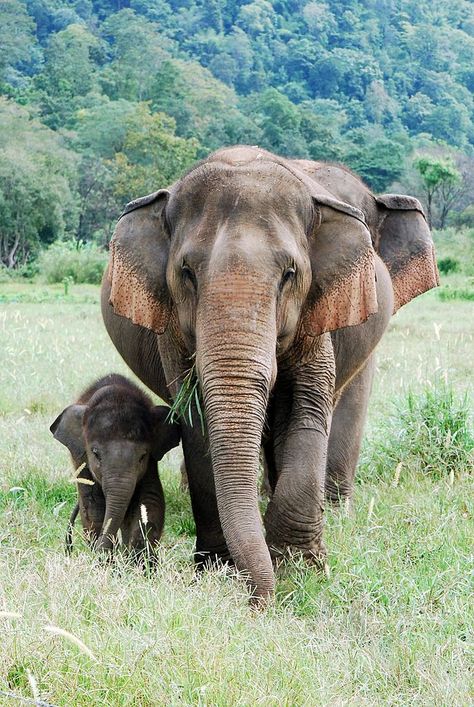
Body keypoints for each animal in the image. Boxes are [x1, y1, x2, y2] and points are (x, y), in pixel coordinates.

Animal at [50, 376, 180, 560]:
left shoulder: (150, 464)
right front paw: (105, 560)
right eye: (96, 454)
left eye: (143, 456)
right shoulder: (81, 459)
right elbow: (93, 505)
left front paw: (140, 560)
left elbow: (149, 500)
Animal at [99, 147, 436, 604]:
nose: (259, 603)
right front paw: (219, 570)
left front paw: (301, 568)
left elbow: (305, 410)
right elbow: (198, 425)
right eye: (187, 272)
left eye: (289, 274)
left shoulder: (321, 317)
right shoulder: (171, 331)